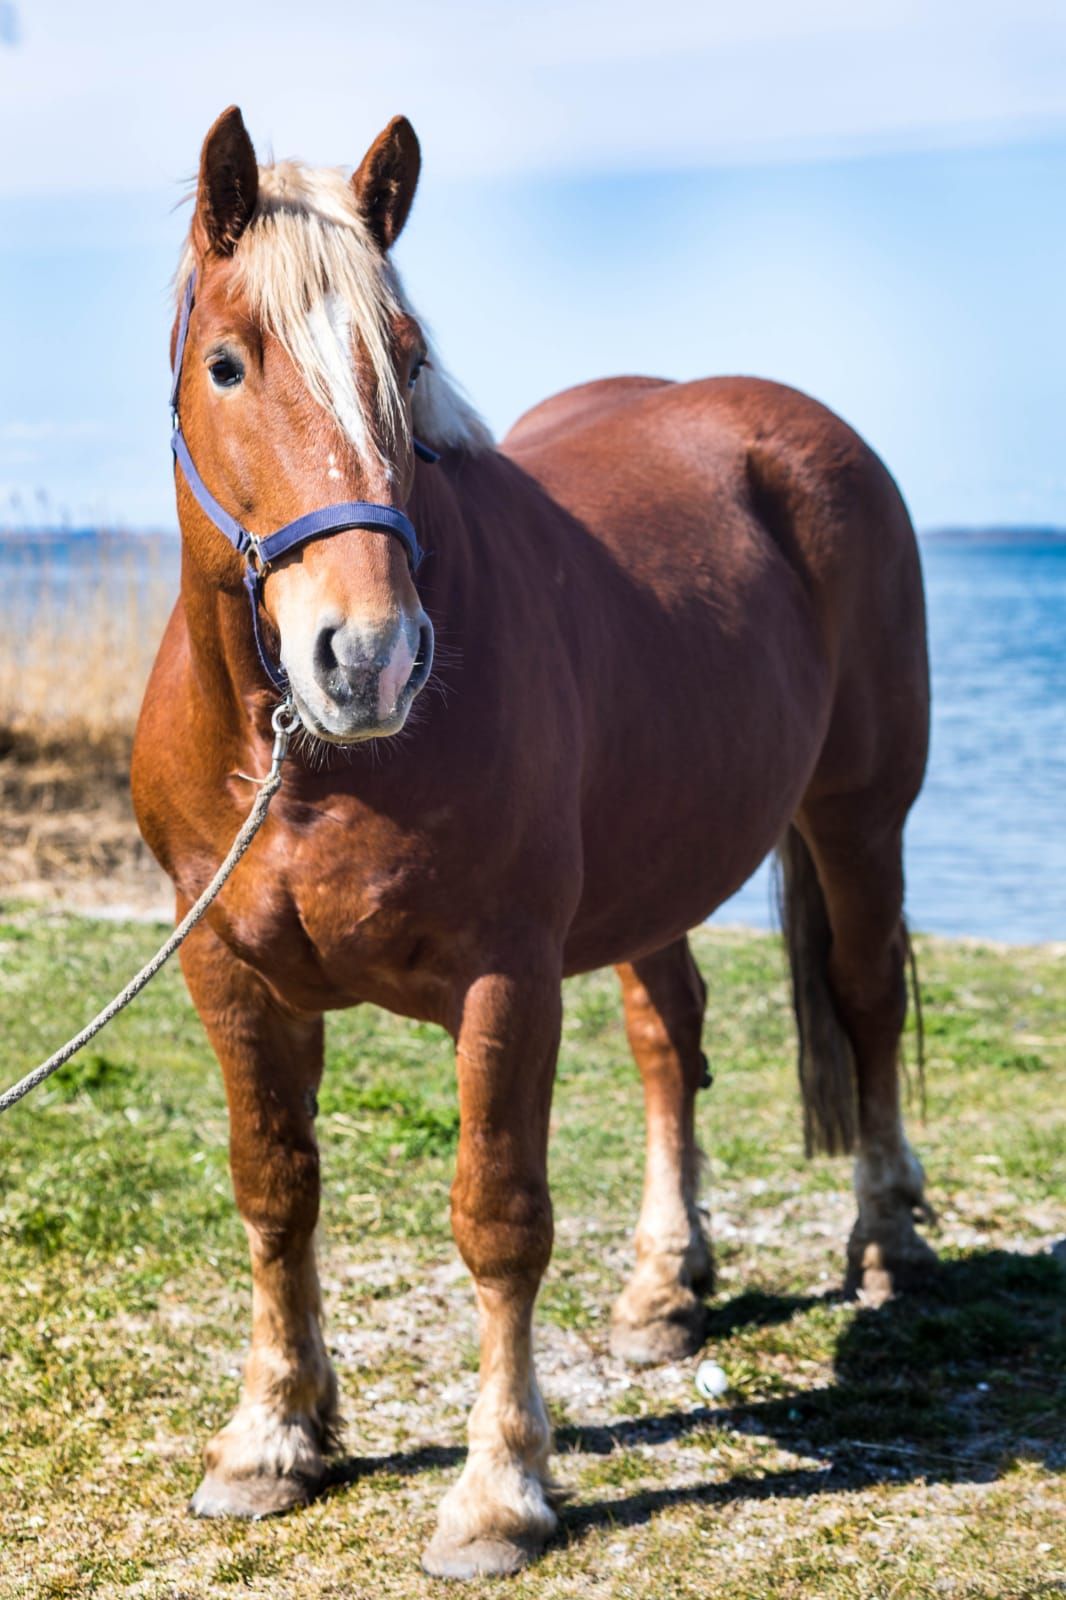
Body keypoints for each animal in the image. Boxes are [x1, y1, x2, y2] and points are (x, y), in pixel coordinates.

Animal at [131, 106, 935, 1579]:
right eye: (226, 362)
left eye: (405, 360)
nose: (367, 657)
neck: (304, 763)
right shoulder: (228, 971)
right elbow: (275, 1189)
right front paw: (273, 1437)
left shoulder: (503, 976)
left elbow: (497, 1218)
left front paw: (499, 1490)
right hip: (655, 870)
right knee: (668, 1038)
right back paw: (665, 1286)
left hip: (857, 819)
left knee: (860, 1006)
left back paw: (883, 1238)